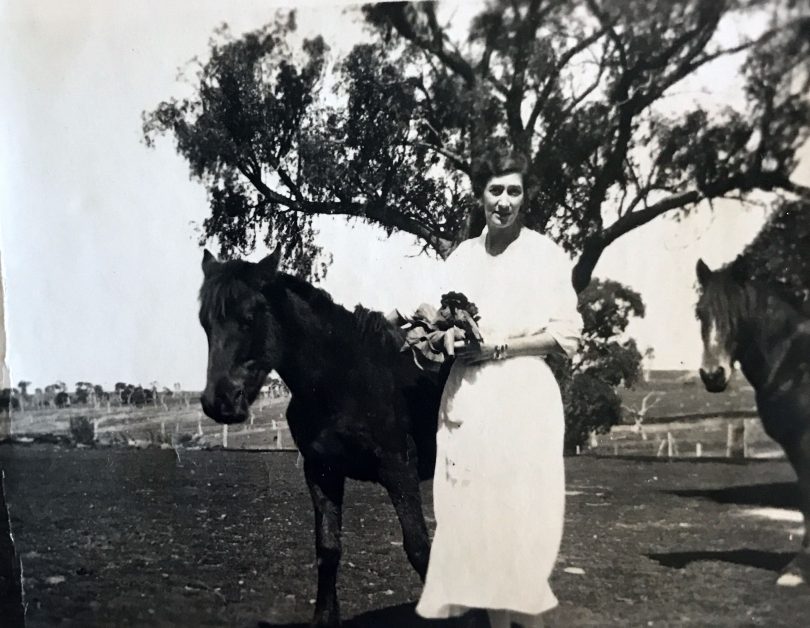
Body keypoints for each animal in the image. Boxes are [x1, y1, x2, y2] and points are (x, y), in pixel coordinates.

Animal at [199, 248, 446, 624]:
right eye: (205, 322)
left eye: (249, 317)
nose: (219, 401)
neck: (344, 379)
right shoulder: (322, 470)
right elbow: (328, 548)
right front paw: (324, 616)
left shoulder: (399, 470)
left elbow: (419, 548)